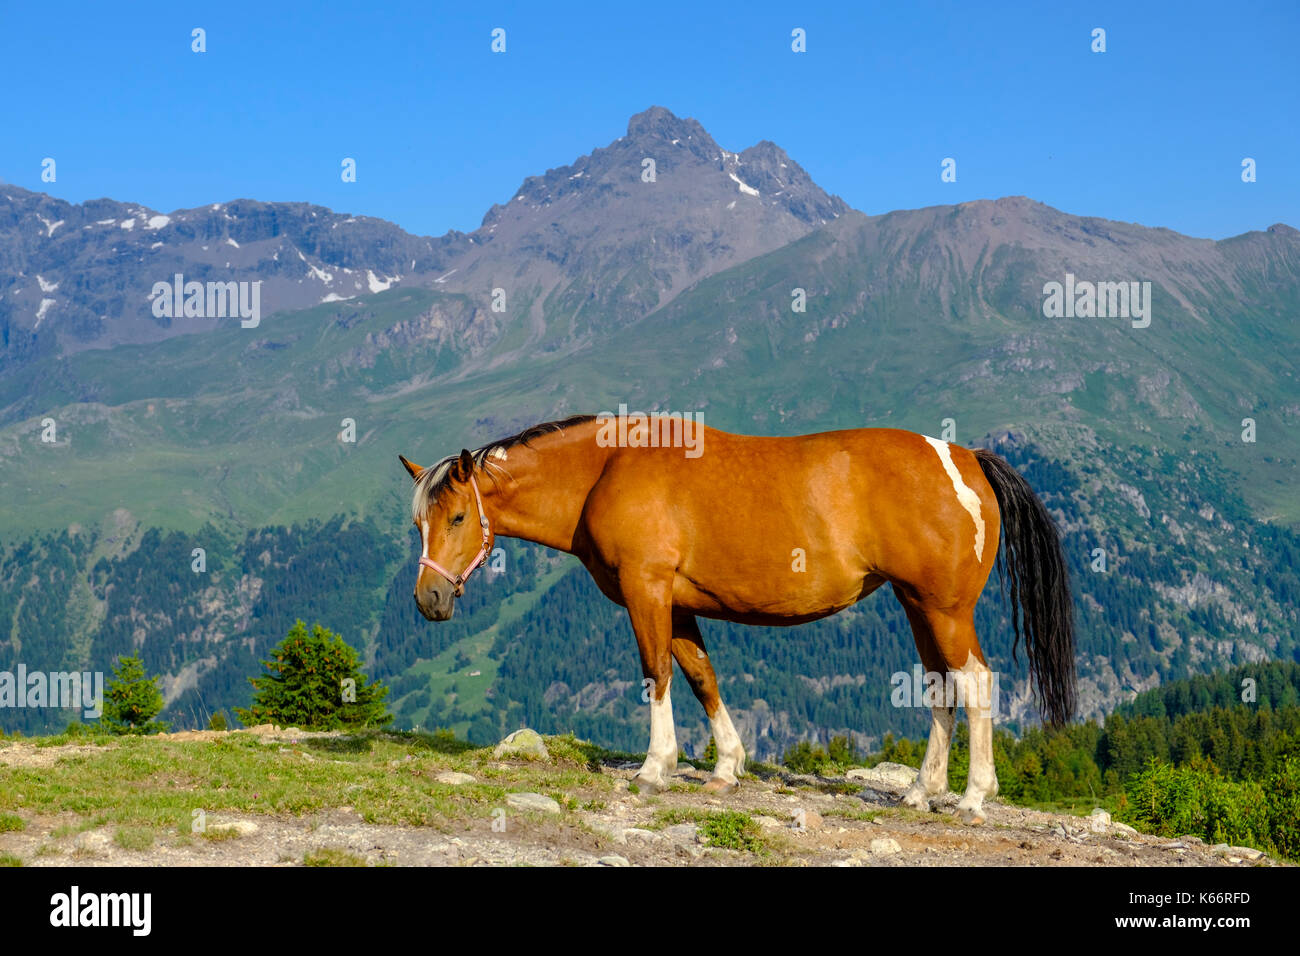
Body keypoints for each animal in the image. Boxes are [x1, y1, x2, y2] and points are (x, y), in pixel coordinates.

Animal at [399, 414, 1075, 825]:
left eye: (457, 517)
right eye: (418, 522)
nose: (429, 599)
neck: (607, 469)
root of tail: (965, 458)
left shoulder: (647, 592)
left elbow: (657, 674)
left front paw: (655, 768)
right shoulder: (679, 604)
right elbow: (702, 676)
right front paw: (726, 768)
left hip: (945, 610)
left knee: (977, 682)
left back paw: (973, 797)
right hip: (918, 606)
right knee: (940, 686)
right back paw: (921, 790)